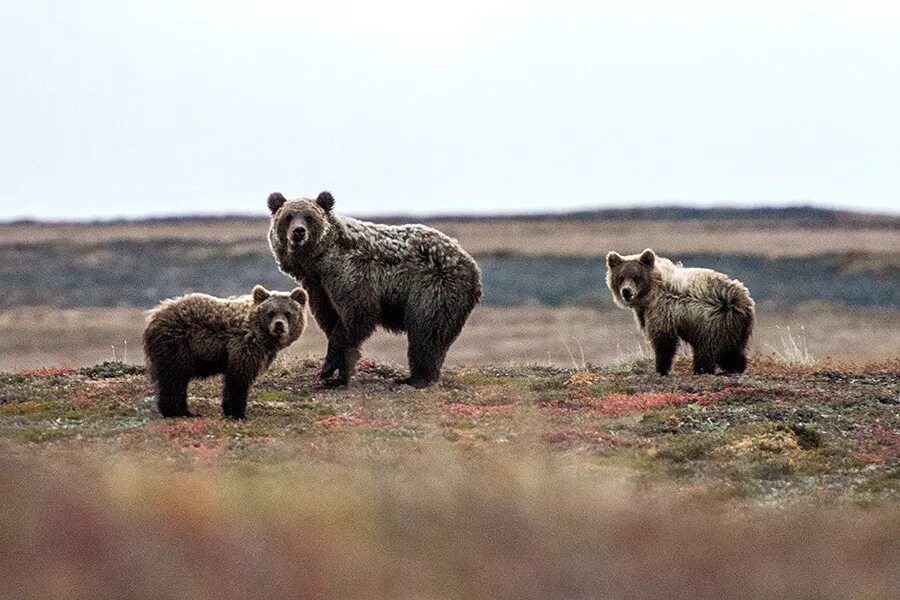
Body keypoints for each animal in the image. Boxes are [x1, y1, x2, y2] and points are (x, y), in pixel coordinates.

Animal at [268, 192, 482, 390]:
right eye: (288, 216)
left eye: (309, 217)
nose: (298, 232)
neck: (318, 263)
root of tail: (471, 264)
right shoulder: (319, 288)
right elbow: (330, 319)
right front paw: (338, 376)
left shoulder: (351, 275)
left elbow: (354, 317)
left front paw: (330, 367)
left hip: (434, 288)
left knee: (427, 331)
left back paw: (416, 378)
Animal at [604, 248, 752, 376]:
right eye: (621, 277)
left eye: (636, 277)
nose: (626, 291)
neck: (650, 295)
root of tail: (743, 300)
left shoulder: (663, 311)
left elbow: (663, 341)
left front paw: (661, 369)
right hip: (732, 328)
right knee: (730, 351)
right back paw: (734, 367)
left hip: (713, 323)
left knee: (708, 350)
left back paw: (703, 370)